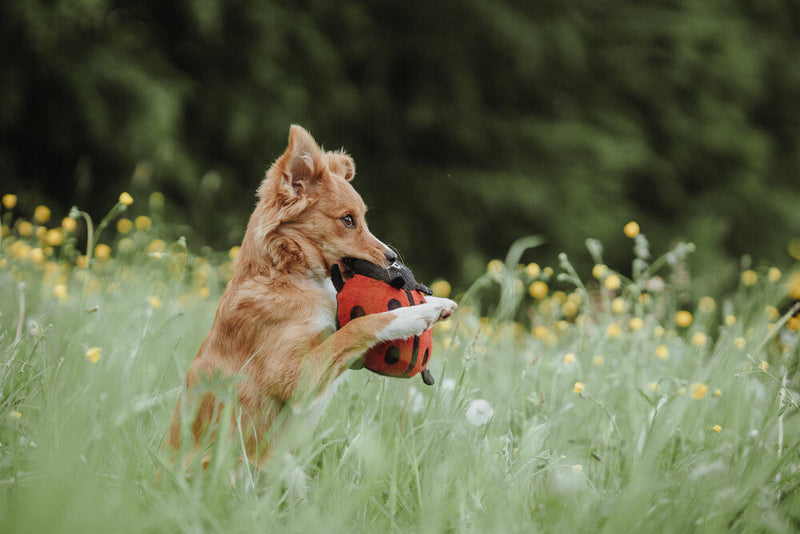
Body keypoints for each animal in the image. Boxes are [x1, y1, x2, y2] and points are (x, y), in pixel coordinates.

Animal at [164, 125, 456, 468]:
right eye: (348, 220)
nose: (393, 258)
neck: (288, 276)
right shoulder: (294, 378)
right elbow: (361, 326)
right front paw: (413, 314)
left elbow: (348, 333)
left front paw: (436, 303)